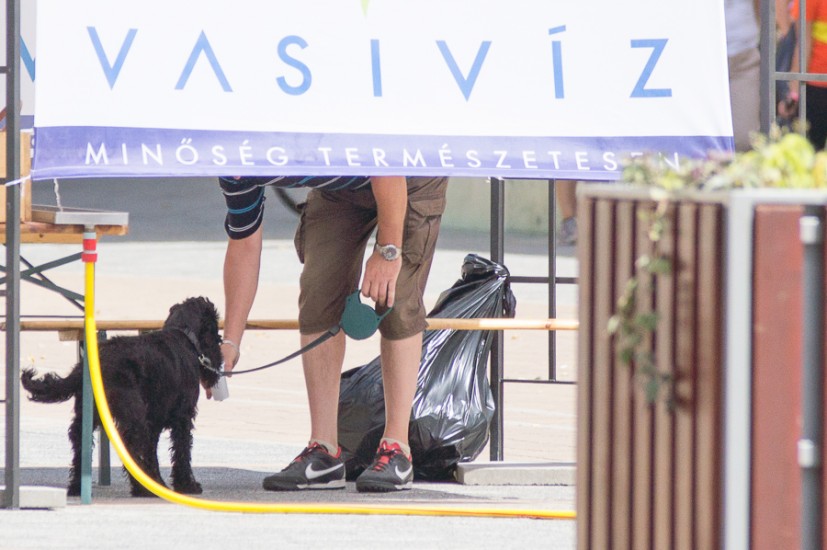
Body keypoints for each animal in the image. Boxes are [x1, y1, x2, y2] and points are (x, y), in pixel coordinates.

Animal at [21, 297, 222, 497]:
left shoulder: (154, 422)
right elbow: (182, 450)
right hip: (133, 418)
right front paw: (186, 485)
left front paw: (158, 481)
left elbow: (152, 453)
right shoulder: (182, 417)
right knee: (130, 448)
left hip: (89, 416)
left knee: (80, 444)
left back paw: (77, 487)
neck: (184, 334)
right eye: (214, 330)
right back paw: (142, 488)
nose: (220, 358)